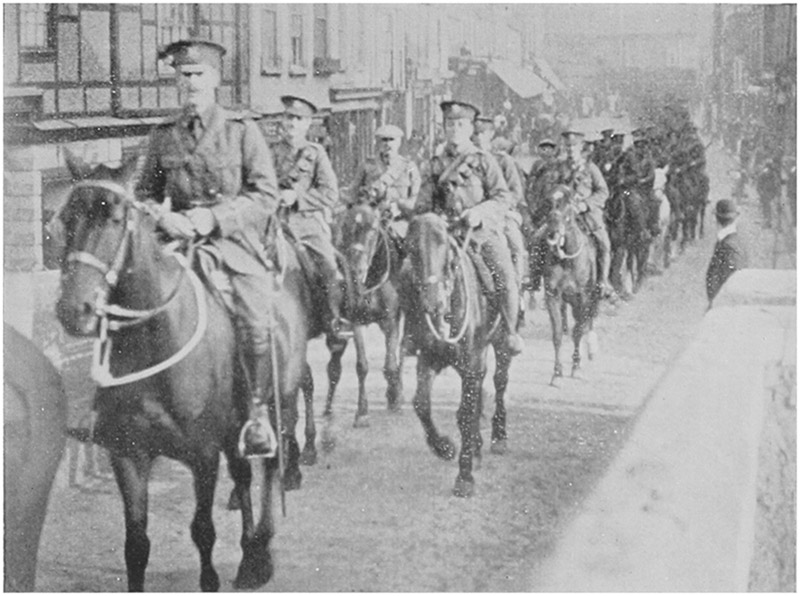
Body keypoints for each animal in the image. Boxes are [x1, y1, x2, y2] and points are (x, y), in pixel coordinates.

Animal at [54, 155, 308, 591]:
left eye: (115, 219)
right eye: (66, 219)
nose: (74, 309)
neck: (154, 339)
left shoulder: (202, 454)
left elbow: (202, 530)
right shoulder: (128, 454)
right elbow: (136, 544)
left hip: (278, 401)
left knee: (270, 469)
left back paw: (260, 556)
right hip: (234, 427)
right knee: (243, 476)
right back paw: (248, 552)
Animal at [400, 212, 514, 498]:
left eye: (447, 248)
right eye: (411, 248)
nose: (434, 304)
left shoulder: (472, 361)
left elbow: (465, 413)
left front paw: (465, 477)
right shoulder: (428, 358)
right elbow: (422, 404)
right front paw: (445, 447)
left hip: (501, 345)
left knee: (499, 383)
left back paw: (498, 437)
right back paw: (477, 446)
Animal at [540, 186, 601, 384]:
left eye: (568, 204)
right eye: (549, 203)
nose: (553, 231)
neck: (568, 259)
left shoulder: (583, 297)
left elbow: (578, 331)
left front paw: (576, 367)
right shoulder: (553, 296)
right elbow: (558, 333)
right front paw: (557, 373)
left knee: (587, 321)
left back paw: (591, 348)